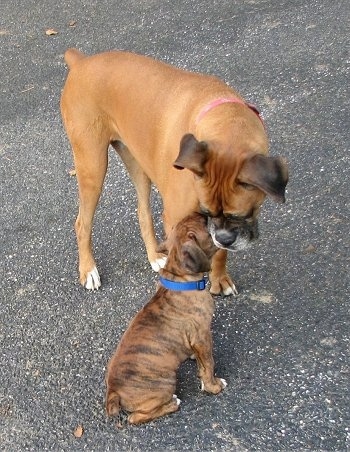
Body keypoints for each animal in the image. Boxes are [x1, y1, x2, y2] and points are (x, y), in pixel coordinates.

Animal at [60, 49, 288, 294]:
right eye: (207, 212)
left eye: (243, 214)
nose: (224, 238)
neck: (225, 118)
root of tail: (81, 62)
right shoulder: (176, 221)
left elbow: (220, 253)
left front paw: (219, 278)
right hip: (93, 166)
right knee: (82, 223)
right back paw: (88, 270)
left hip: (137, 163)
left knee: (143, 212)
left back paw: (154, 255)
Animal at [106, 212, 227, 424]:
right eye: (206, 224)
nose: (208, 213)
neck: (180, 278)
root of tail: (114, 392)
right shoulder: (202, 336)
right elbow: (209, 364)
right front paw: (213, 386)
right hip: (165, 384)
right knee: (136, 417)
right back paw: (173, 403)